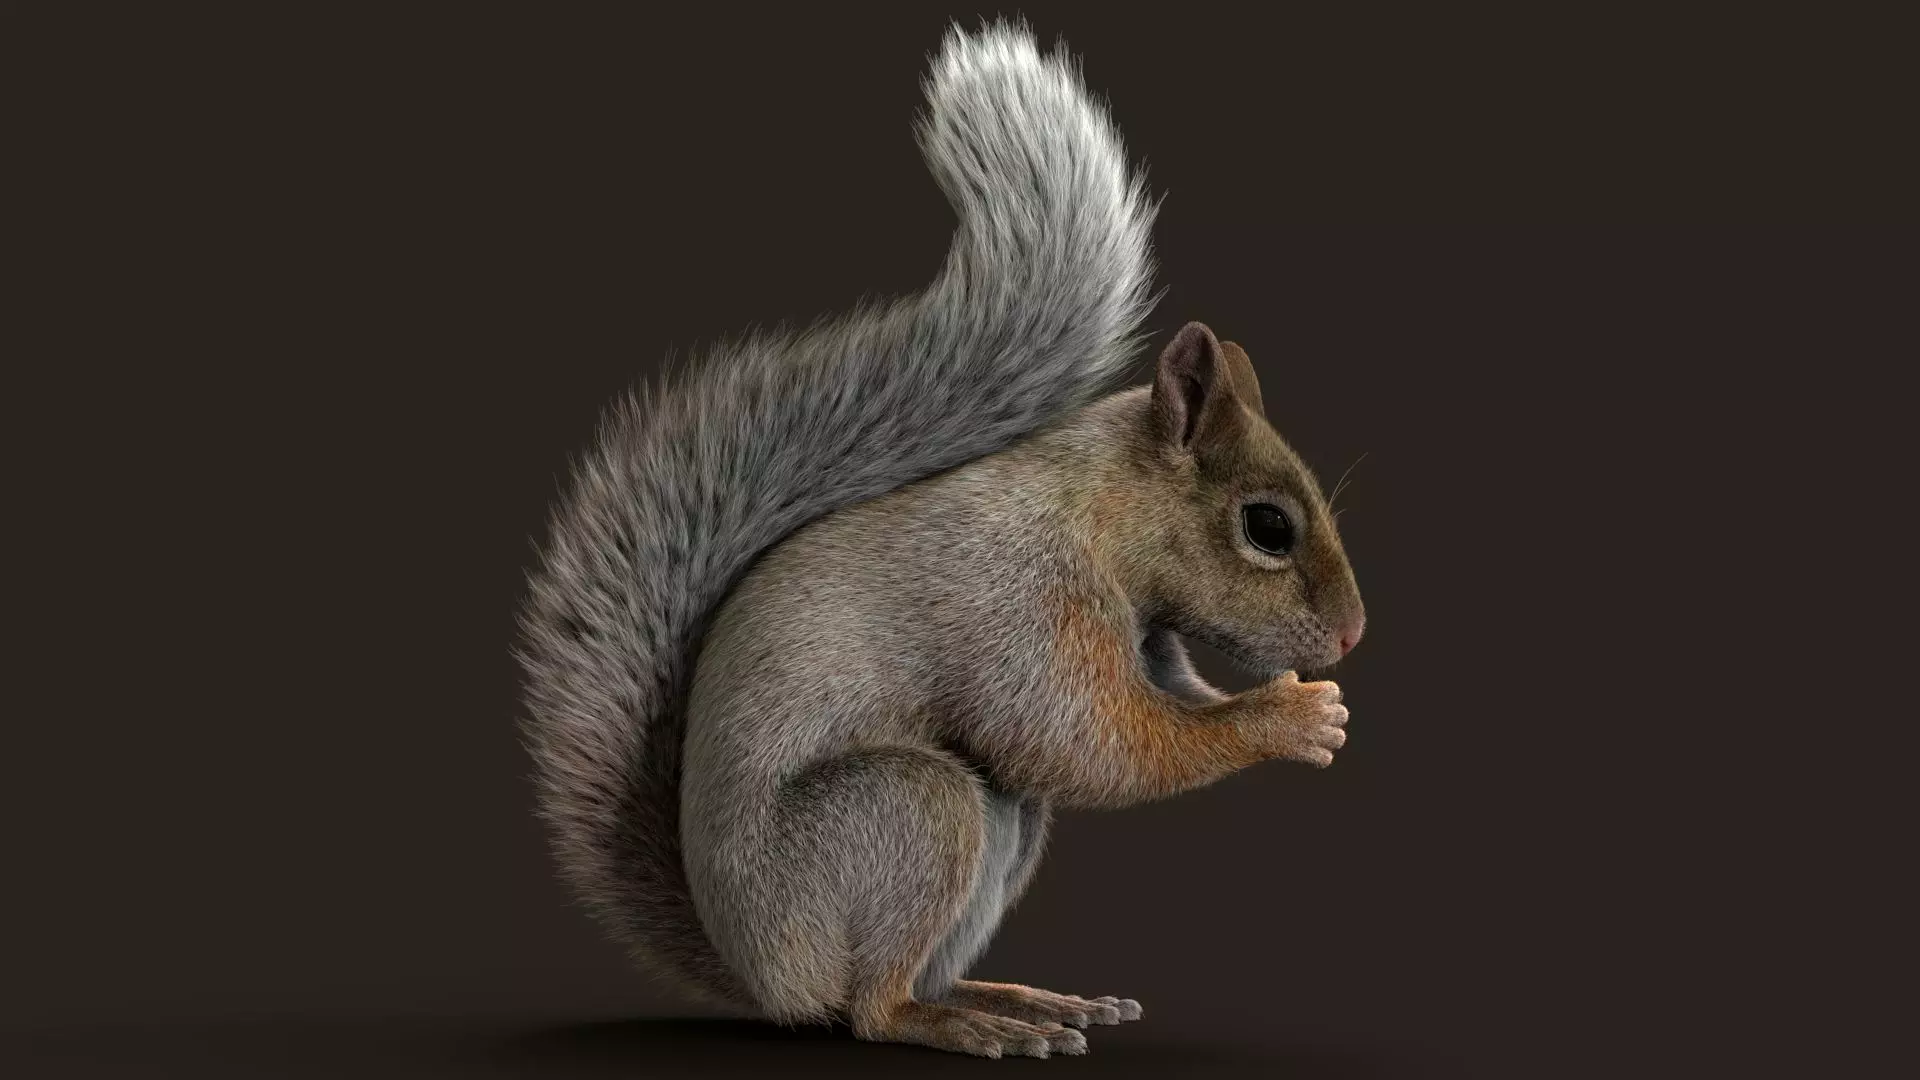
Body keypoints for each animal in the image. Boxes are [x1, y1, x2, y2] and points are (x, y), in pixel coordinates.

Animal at [517, 22, 1365, 1060]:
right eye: (1267, 526)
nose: (1352, 637)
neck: (1099, 514)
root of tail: (762, 977)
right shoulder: (1023, 606)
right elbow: (1101, 746)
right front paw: (1289, 717)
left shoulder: (1150, 635)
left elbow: (1166, 705)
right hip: (906, 813)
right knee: (872, 1007)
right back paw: (956, 1023)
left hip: (1002, 831)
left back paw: (1015, 998)